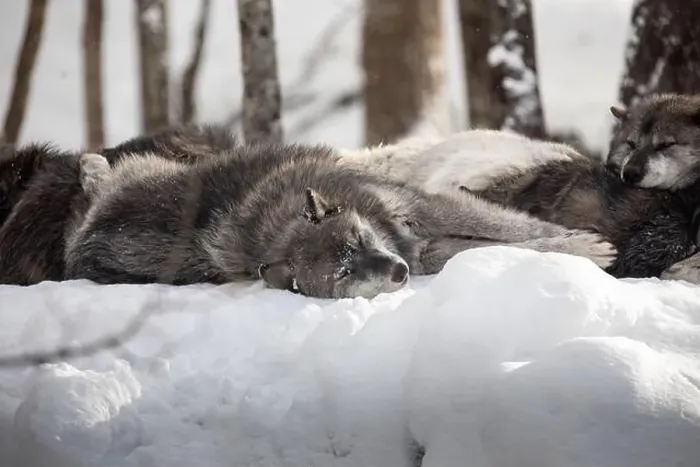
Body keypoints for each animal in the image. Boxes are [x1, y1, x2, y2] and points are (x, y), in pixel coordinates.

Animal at [65, 141, 616, 299]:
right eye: (344, 272)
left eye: (359, 237)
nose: (398, 273)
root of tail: (86, 238)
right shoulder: (429, 249)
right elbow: (502, 246)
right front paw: (583, 249)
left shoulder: (424, 210)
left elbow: (520, 231)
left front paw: (586, 245)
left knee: (102, 176)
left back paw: (91, 166)